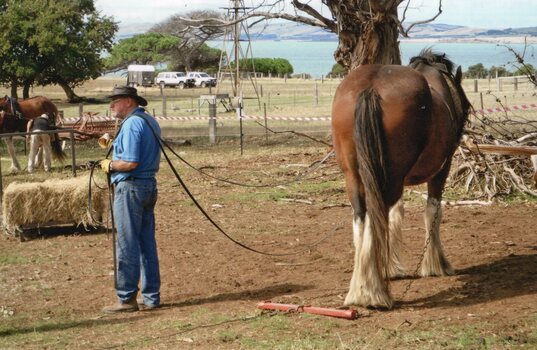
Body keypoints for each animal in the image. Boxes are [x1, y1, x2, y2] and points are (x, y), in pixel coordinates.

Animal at [330, 49, 468, 308]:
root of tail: (370, 87)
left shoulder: (398, 180)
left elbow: (397, 213)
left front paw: (392, 267)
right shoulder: (441, 170)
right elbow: (432, 212)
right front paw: (436, 264)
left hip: (356, 176)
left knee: (363, 217)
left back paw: (361, 288)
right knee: (376, 217)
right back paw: (373, 292)